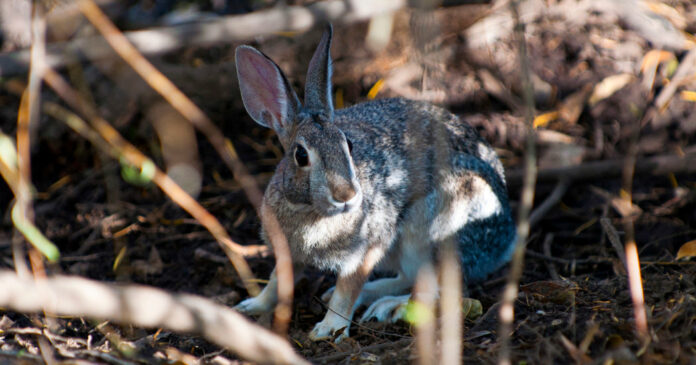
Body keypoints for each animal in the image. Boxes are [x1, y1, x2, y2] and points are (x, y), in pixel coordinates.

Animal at [234, 24, 516, 342]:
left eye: (349, 145)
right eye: (301, 155)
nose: (346, 195)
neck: (310, 211)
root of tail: (505, 239)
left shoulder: (367, 250)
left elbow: (347, 291)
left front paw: (328, 329)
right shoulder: (287, 253)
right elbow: (276, 282)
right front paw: (251, 306)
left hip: (431, 229)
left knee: (439, 289)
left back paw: (389, 307)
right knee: (411, 278)